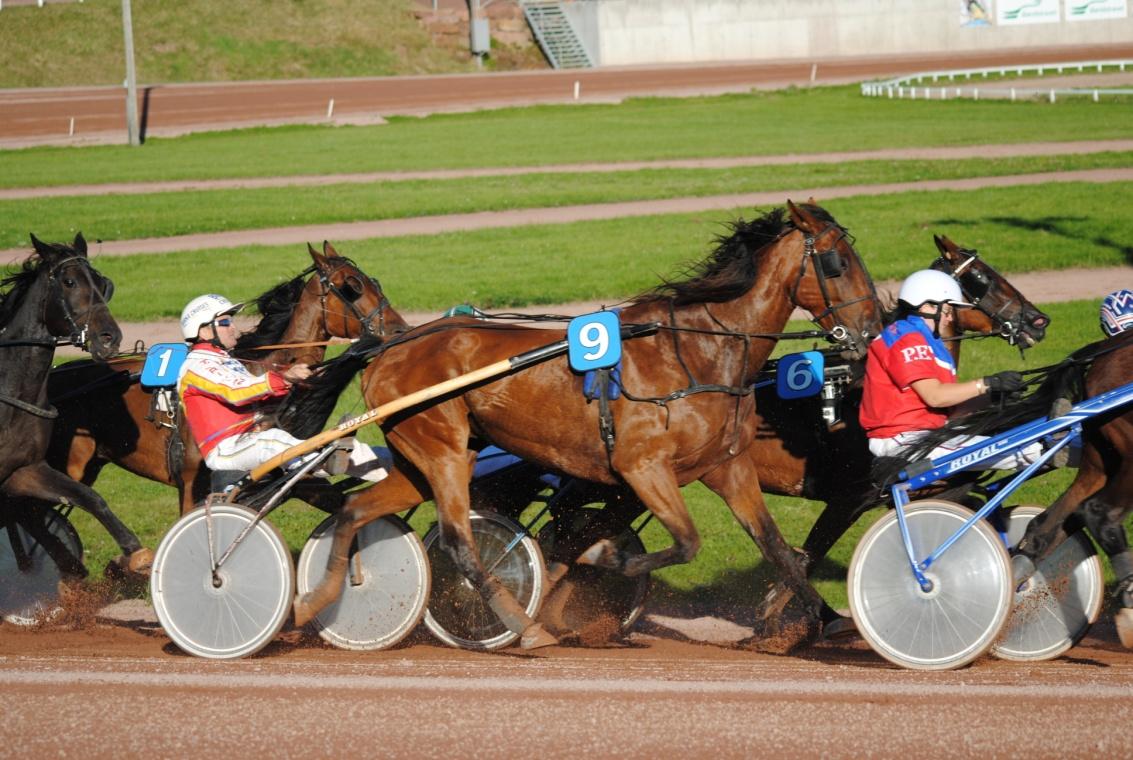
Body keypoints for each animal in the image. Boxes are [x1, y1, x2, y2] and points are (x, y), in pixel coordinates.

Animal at [18, 241, 403, 573]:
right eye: (352, 286)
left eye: (373, 281)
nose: (399, 328)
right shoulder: (194, 483)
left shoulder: (282, 479)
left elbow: (334, 501)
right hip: (62, 467)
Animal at [296, 199, 879, 652]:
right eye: (836, 262)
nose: (872, 328)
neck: (696, 354)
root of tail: (388, 348)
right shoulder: (642, 468)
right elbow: (682, 543)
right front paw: (602, 555)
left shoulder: (728, 469)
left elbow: (780, 550)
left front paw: (830, 621)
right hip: (442, 451)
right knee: (460, 541)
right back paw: (524, 626)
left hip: (426, 457)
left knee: (353, 512)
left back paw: (313, 603)